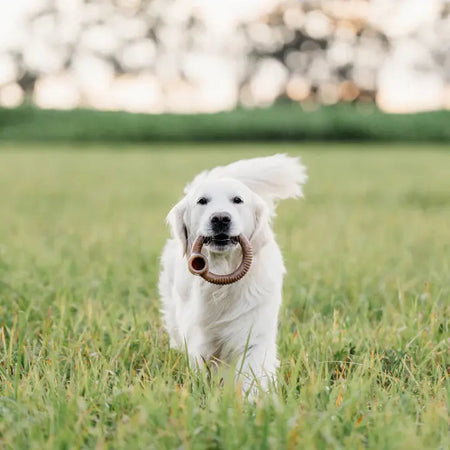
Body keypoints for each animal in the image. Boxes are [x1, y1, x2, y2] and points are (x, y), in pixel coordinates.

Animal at [158, 155, 306, 394]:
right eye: (202, 201)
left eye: (237, 200)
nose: (220, 218)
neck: (222, 277)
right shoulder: (200, 339)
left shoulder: (253, 332)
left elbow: (253, 372)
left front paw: (253, 399)